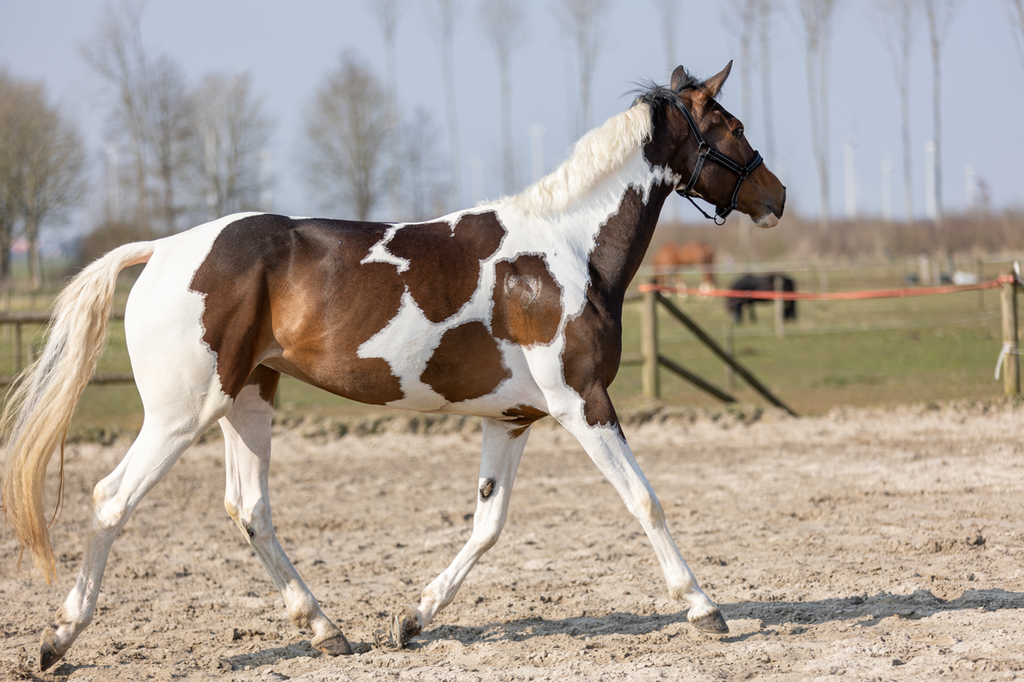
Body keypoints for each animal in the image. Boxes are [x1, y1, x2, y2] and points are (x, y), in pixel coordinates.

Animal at [1, 62, 784, 671]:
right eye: (733, 126)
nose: (776, 195)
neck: (564, 251)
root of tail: (161, 250)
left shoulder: (514, 418)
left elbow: (488, 524)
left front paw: (412, 619)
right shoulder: (582, 402)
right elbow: (644, 500)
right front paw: (705, 609)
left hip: (247, 400)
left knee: (250, 509)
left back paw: (327, 631)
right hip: (179, 414)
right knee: (112, 500)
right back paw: (58, 640)